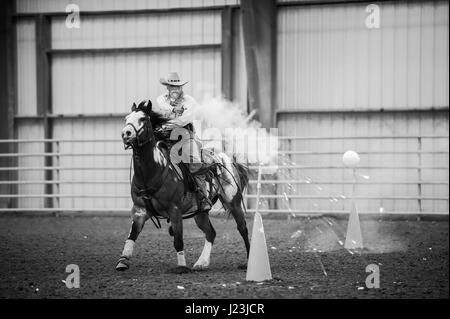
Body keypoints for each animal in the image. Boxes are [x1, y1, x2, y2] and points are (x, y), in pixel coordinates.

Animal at [115, 100, 250, 276]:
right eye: (126, 118)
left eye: (143, 119)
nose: (126, 133)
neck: (154, 170)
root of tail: (226, 159)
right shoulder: (139, 210)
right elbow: (132, 236)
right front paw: (123, 261)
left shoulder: (175, 210)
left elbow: (178, 240)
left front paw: (181, 267)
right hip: (200, 213)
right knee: (211, 233)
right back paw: (201, 262)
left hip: (233, 202)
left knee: (243, 228)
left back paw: (248, 262)